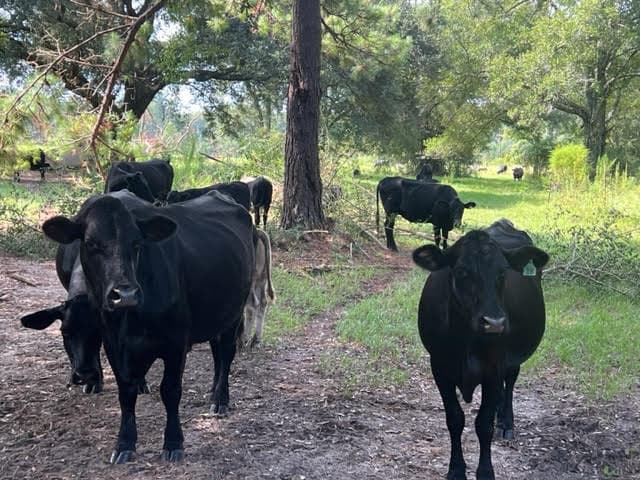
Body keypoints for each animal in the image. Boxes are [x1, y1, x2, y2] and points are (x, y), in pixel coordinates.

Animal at [40, 189, 255, 463]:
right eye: (91, 244)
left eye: (137, 244)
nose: (125, 294)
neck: (131, 320)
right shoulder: (114, 344)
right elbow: (125, 391)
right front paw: (124, 443)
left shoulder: (176, 342)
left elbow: (170, 390)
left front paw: (173, 442)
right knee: (217, 354)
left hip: (234, 313)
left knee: (225, 355)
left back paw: (220, 399)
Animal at [412, 219, 549, 480]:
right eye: (462, 271)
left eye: (503, 272)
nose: (494, 323)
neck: (464, 342)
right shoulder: (439, 367)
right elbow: (455, 419)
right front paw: (456, 469)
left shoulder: (494, 368)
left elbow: (483, 424)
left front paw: (485, 471)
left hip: (512, 358)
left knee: (510, 382)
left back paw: (506, 422)